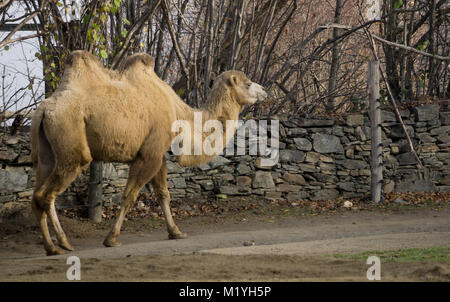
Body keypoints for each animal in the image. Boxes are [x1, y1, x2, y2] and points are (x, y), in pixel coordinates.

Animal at [29, 50, 268, 256]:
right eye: (248, 83)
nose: (265, 91)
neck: (180, 114)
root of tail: (44, 110)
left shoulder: (158, 155)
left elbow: (163, 194)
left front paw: (176, 232)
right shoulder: (149, 155)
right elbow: (130, 196)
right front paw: (111, 239)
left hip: (47, 154)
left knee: (38, 194)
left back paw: (55, 245)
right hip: (72, 142)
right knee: (46, 194)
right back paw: (60, 245)